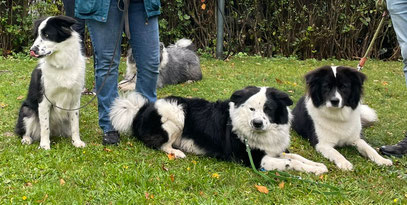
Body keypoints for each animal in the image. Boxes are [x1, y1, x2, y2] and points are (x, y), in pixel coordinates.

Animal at [14, 16, 86, 150]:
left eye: (47, 35)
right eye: (36, 35)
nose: (32, 50)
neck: (62, 66)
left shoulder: (75, 100)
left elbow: (75, 125)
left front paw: (77, 142)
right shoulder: (44, 100)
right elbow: (45, 127)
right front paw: (44, 146)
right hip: (27, 110)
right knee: (25, 131)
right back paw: (27, 139)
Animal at [109, 85, 328, 174]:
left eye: (268, 109)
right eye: (251, 109)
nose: (257, 123)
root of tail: (141, 110)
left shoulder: (274, 149)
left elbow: (297, 157)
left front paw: (318, 166)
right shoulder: (254, 160)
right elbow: (292, 163)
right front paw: (313, 169)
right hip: (176, 111)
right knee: (161, 145)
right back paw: (177, 152)